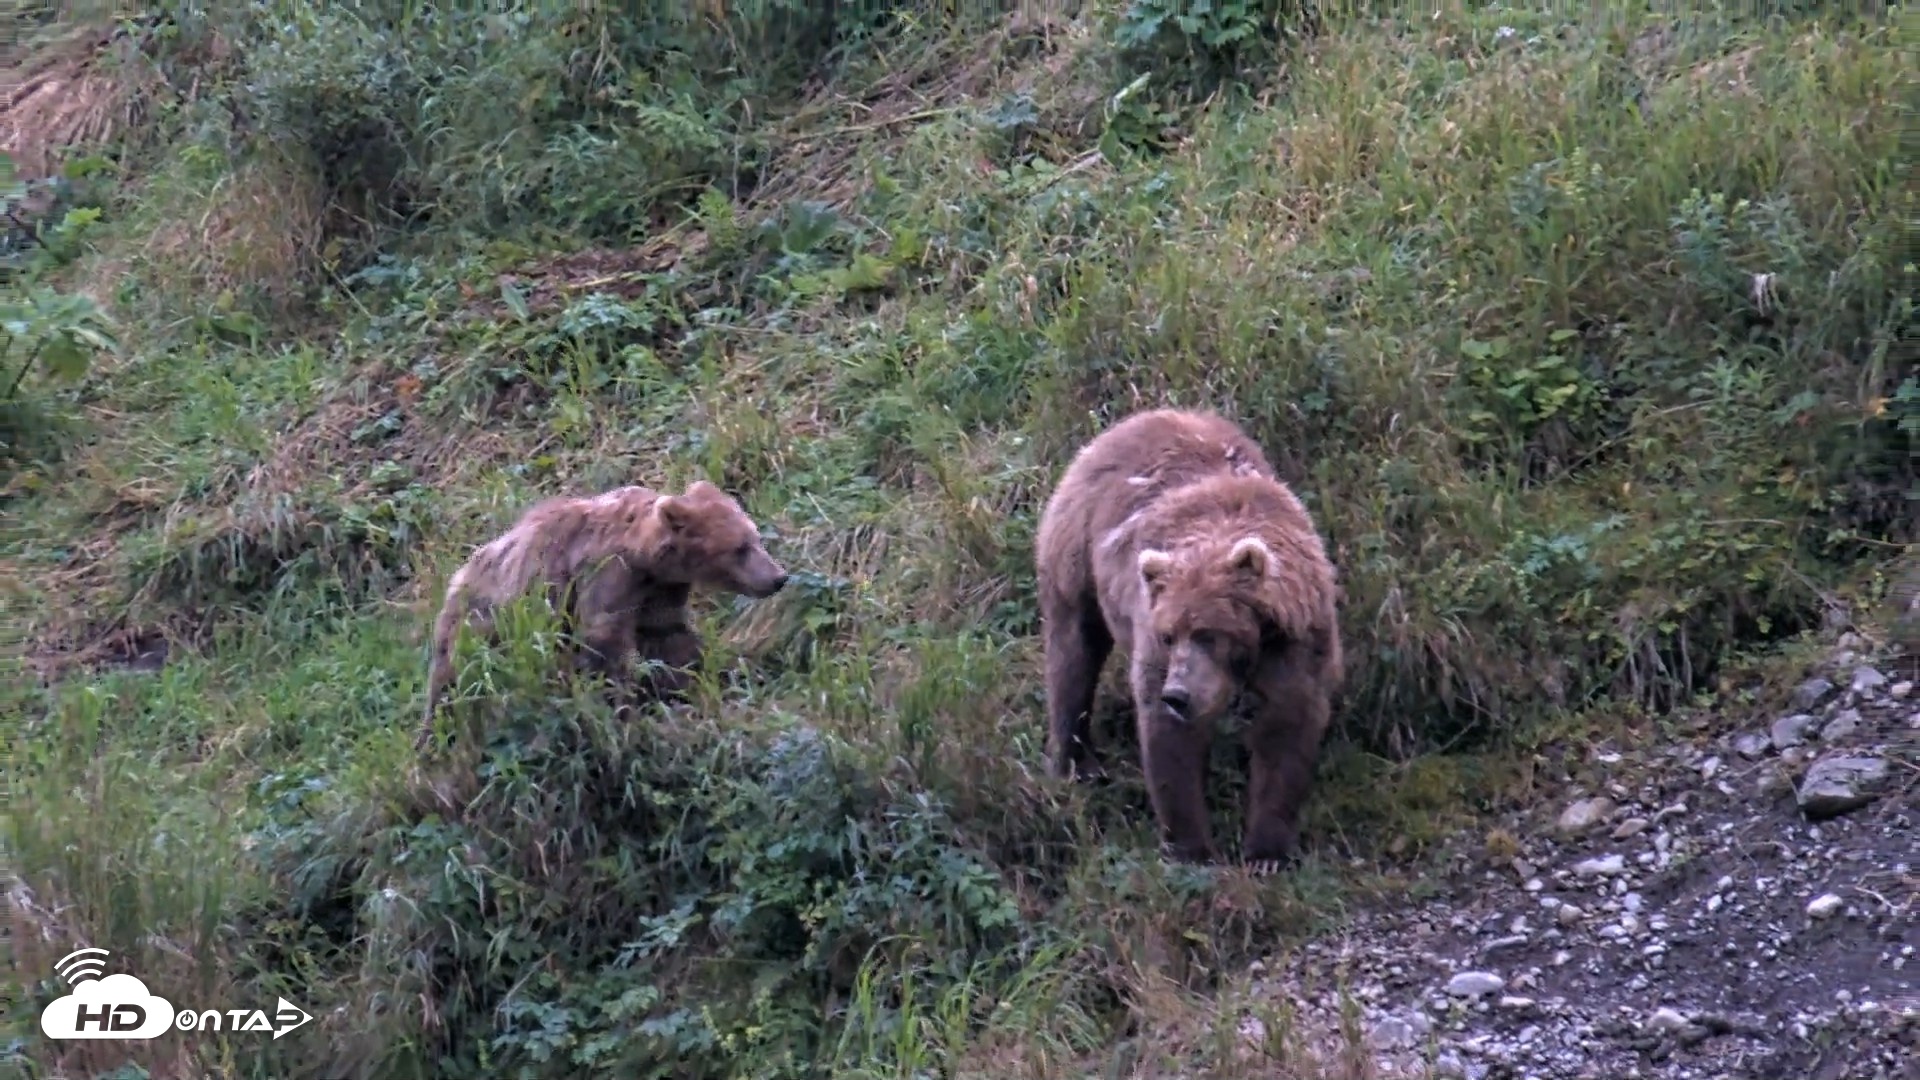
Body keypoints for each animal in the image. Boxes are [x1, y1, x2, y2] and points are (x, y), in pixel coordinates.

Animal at [418, 479, 789, 748]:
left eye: (755, 537)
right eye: (740, 548)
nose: (778, 577)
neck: (647, 558)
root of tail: (456, 578)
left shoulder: (659, 591)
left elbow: (669, 638)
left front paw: (696, 681)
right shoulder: (606, 574)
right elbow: (603, 641)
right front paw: (622, 711)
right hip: (482, 624)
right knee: (453, 683)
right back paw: (436, 736)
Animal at [1033, 408, 1344, 873]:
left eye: (1208, 634)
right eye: (1168, 635)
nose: (1177, 694)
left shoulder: (1297, 641)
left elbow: (1288, 726)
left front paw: (1267, 851)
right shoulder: (1156, 641)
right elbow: (1171, 740)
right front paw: (1193, 848)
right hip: (1076, 553)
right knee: (1074, 654)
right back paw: (1077, 761)